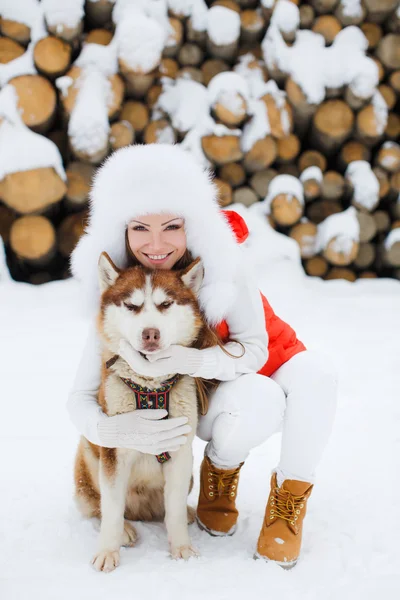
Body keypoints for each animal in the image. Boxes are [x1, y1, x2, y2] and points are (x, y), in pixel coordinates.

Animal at [73, 252, 217, 572]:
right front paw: (108, 551)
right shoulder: (114, 453)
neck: (150, 386)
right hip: (89, 454)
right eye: (131, 306)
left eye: (165, 304)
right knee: (101, 506)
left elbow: (173, 509)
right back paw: (125, 528)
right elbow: (112, 509)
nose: (151, 334)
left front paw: (182, 548)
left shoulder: (180, 453)